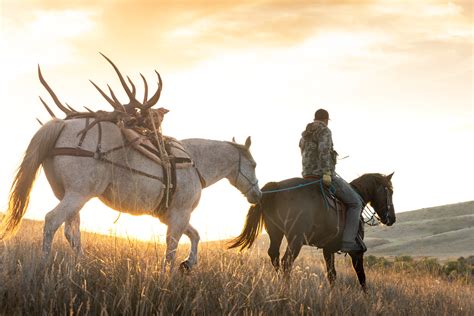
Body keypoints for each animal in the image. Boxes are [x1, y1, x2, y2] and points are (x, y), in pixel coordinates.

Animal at [230, 174, 396, 290]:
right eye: (391, 191)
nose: (392, 218)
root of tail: (275, 186)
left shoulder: (328, 249)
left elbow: (332, 275)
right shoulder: (357, 252)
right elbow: (362, 278)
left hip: (275, 233)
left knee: (274, 256)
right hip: (295, 239)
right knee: (286, 262)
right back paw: (286, 290)